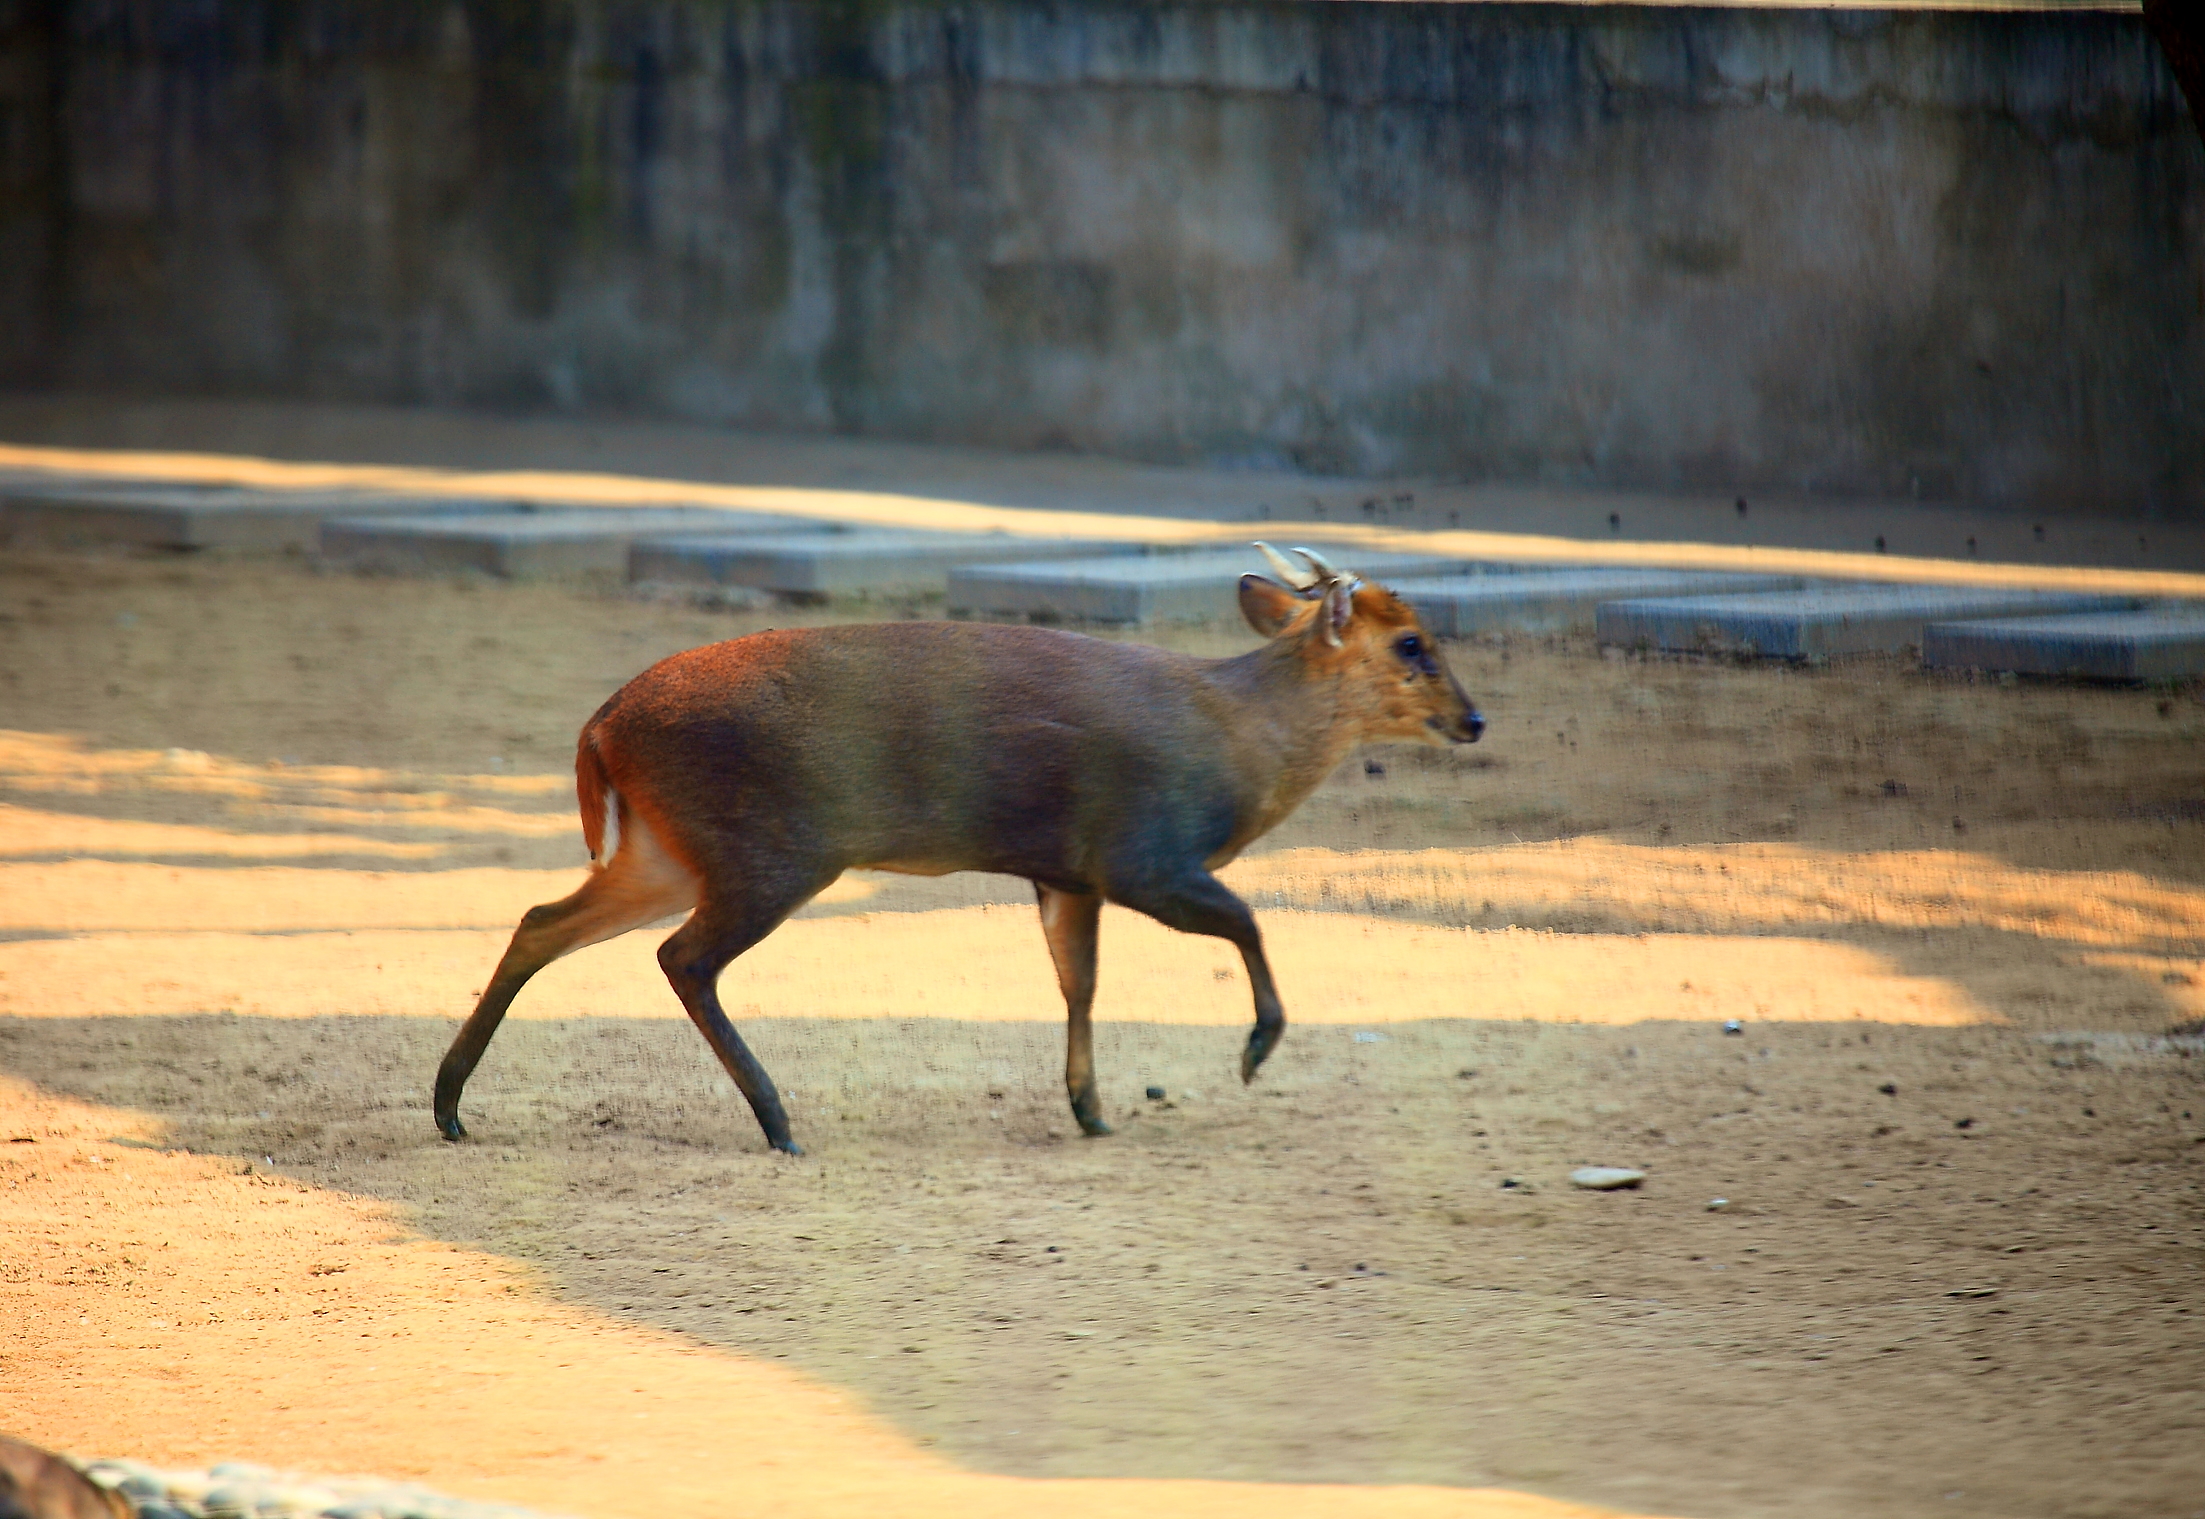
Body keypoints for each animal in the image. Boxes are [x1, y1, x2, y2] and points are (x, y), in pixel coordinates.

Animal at [434, 544, 1481, 1146]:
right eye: (1413, 643)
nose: (1474, 718)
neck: (1242, 745)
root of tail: (599, 726)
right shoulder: (1144, 851)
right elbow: (1246, 921)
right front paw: (1254, 1052)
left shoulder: (1066, 871)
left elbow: (1077, 981)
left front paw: (1089, 1108)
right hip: (766, 847)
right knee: (681, 957)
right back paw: (779, 1122)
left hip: (663, 846)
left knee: (541, 920)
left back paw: (450, 1106)